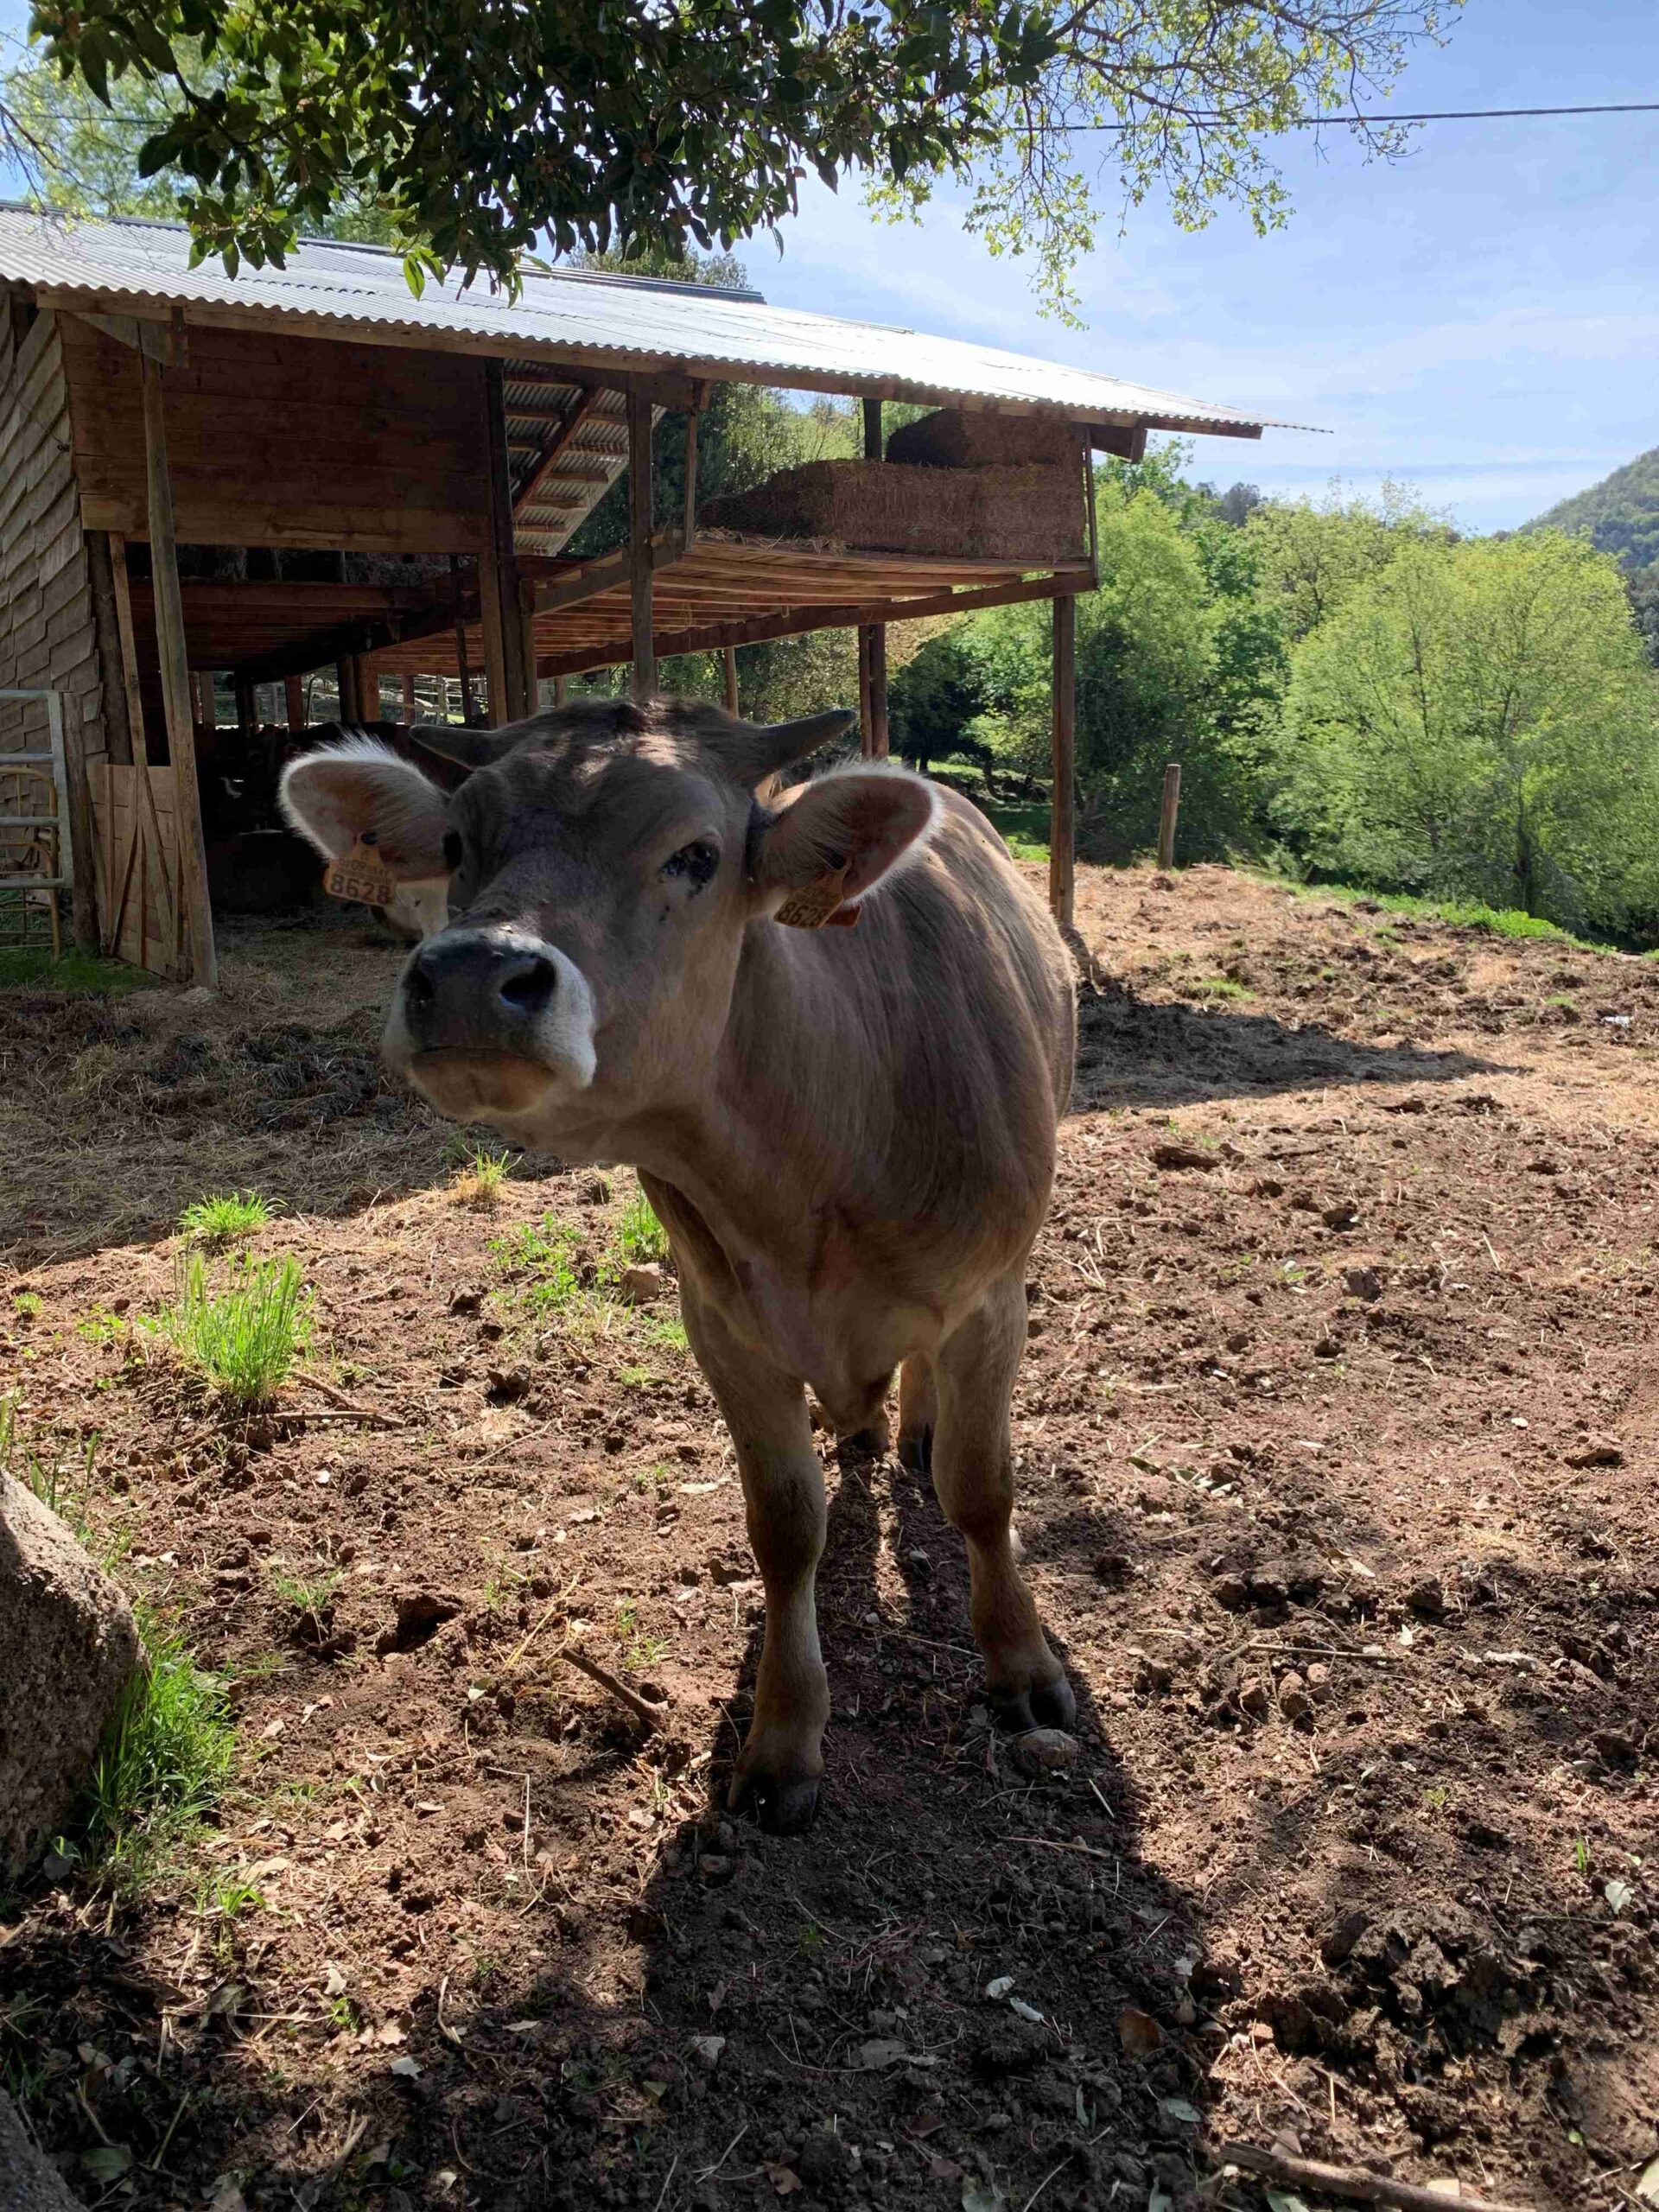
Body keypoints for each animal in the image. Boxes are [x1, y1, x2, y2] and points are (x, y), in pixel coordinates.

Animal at [279, 698, 1077, 1833]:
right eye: (458, 843)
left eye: (697, 854)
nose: (472, 975)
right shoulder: (722, 1321)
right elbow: (784, 1526)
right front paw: (783, 1737)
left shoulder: (992, 1295)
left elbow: (982, 1487)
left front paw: (1021, 1663)